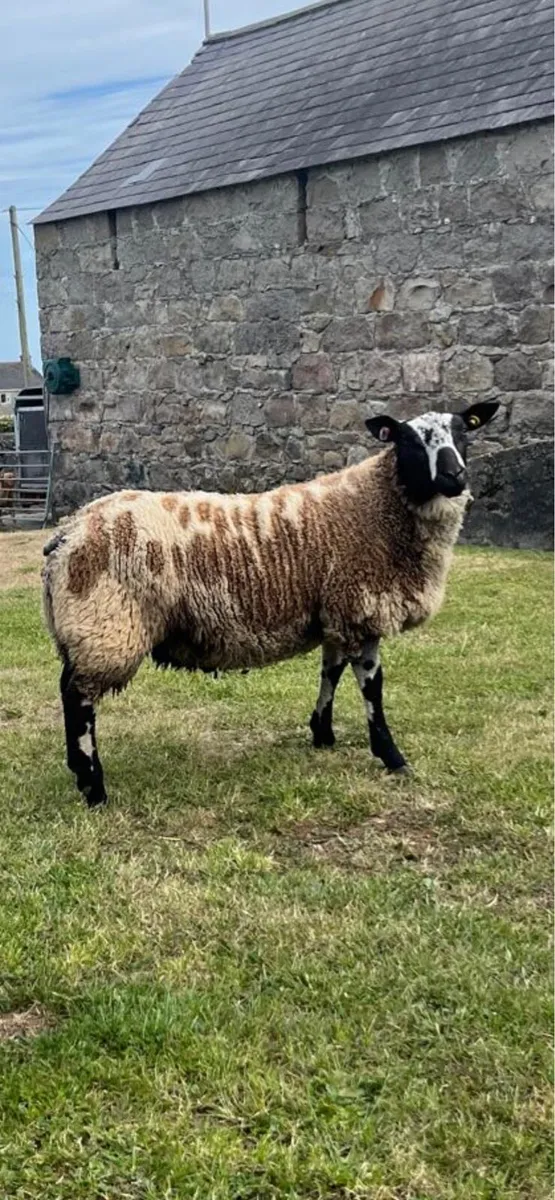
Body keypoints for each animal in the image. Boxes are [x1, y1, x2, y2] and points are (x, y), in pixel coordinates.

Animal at [42, 401, 499, 807]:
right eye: (408, 441)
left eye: (464, 432)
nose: (456, 476)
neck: (376, 505)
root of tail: (67, 532)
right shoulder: (361, 609)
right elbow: (373, 688)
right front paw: (392, 756)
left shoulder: (335, 612)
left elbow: (330, 672)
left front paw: (322, 734)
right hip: (106, 624)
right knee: (78, 700)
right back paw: (94, 788)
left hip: (91, 626)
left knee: (70, 691)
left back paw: (81, 775)